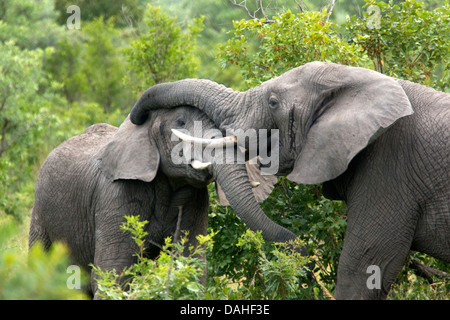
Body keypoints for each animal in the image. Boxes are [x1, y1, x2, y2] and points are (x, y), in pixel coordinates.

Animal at [29, 105, 298, 298]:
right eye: (180, 123)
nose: (300, 247)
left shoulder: (195, 199)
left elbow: (190, 269)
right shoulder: (116, 194)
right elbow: (112, 275)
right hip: (39, 209)